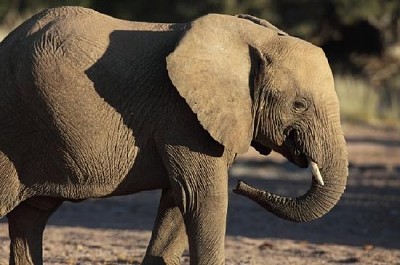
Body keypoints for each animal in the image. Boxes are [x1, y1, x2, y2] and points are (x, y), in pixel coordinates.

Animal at [0, 5, 346, 264]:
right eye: (300, 105)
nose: (240, 185)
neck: (251, 39)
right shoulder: (181, 115)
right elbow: (202, 198)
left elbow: (178, 201)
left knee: (31, 218)